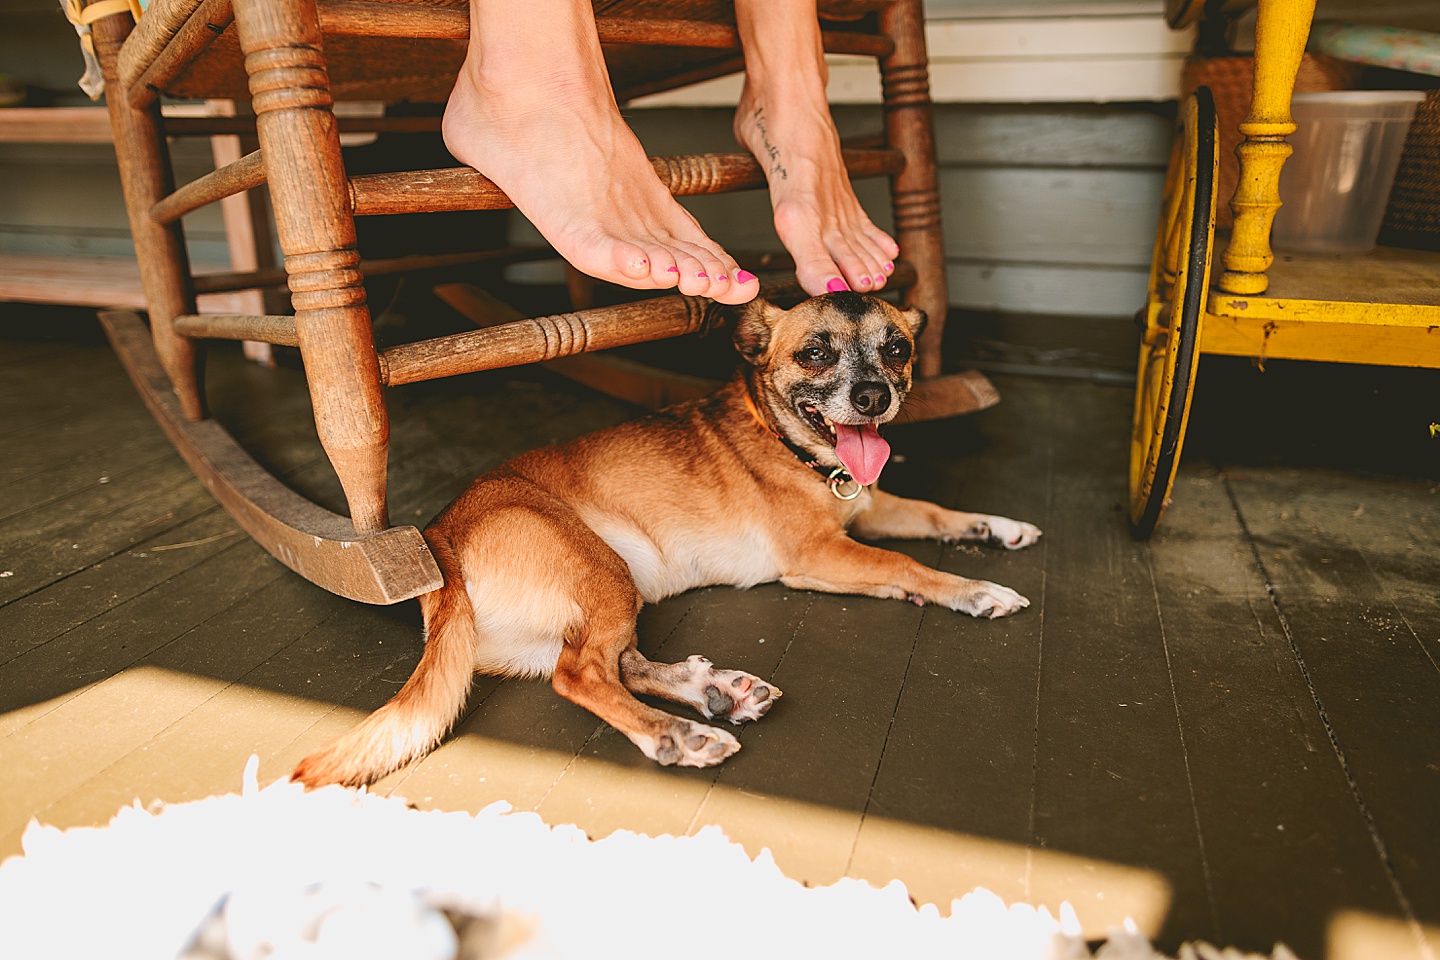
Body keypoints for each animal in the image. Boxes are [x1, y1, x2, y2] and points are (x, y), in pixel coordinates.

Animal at [292, 295, 1036, 788]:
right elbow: (909, 564)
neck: (797, 448)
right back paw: (680, 733)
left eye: (897, 349)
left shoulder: (874, 510)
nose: (876, 396)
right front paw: (976, 589)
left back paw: (712, 691)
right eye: (815, 352)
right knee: (582, 674)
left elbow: (937, 514)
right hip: (605, 571)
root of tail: (442, 534)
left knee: (616, 663)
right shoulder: (821, 556)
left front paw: (999, 527)